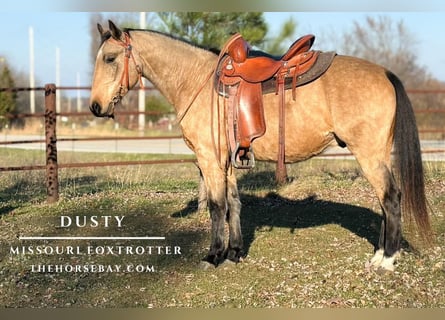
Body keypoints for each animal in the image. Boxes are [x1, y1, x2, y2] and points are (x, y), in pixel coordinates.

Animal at [87, 20, 430, 272]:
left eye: (110, 58)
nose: (95, 107)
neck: (196, 81)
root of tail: (384, 73)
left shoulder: (210, 160)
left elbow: (217, 207)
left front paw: (214, 255)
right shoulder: (227, 161)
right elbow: (234, 204)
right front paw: (235, 252)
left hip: (368, 155)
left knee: (390, 199)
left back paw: (387, 260)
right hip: (378, 154)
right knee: (385, 201)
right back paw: (380, 254)